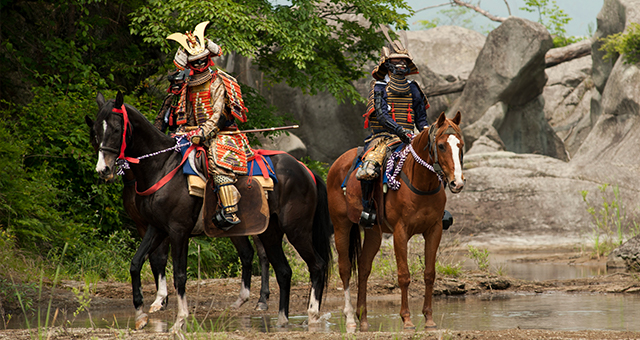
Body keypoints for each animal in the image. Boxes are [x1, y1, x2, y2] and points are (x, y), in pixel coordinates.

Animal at [87, 91, 336, 334]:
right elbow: (137, 263)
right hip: (270, 232)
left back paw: (312, 315)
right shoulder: (155, 228)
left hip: (297, 230)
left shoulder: (178, 231)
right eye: (96, 131)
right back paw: (282, 320)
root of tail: (304, 169)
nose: (103, 169)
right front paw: (141, 315)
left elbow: (179, 275)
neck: (162, 166)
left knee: (317, 265)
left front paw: (180, 320)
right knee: (284, 271)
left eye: (116, 129)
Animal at [328, 111, 462, 330]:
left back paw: (363, 318)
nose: (457, 182)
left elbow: (429, 274)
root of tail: (338, 163)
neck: (421, 183)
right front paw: (407, 319)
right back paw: (350, 319)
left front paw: (429, 318)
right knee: (345, 268)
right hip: (341, 225)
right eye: (442, 146)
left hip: (373, 232)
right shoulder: (401, 232)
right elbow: (404, 275)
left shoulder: (434, 230)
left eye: (461, 145)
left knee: (364, 267)